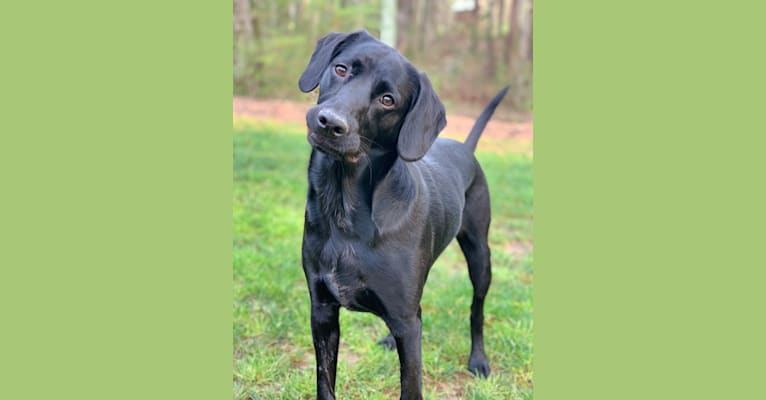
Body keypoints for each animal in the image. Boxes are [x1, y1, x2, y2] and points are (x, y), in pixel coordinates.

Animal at [300, 29, 510, 398]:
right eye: (341, 69)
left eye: (388, 100)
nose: (330, 123)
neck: (344, 209)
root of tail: (464, 148)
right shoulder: (323, 311)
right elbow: (325, 383)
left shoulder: (409, 326)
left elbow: (410, 387)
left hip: (480, 256)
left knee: (477, 309)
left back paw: (479, 361)